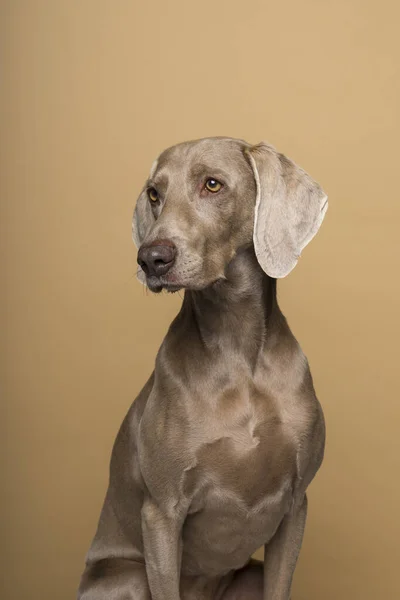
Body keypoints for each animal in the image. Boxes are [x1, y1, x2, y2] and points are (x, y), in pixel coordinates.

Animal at [77, 137, 328, 600]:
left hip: (247, 575)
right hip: (127, 577)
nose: (150, 258)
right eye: (154, 194)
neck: (238, 351)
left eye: (212, 184)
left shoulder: (296, 505)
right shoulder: (161, 513)